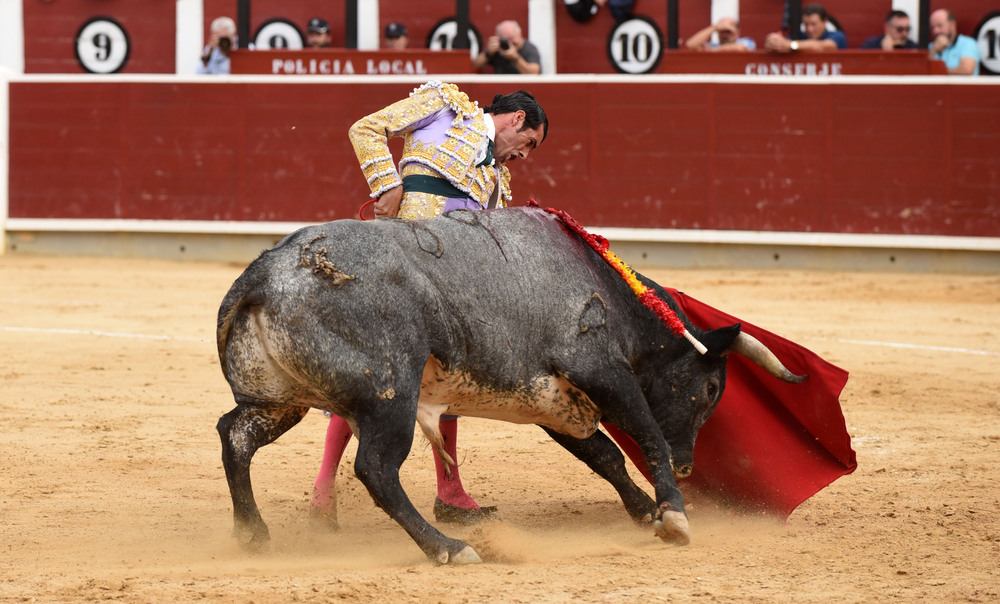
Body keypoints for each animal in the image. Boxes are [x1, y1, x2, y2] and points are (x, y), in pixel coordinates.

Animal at [213, 205, 804, 564]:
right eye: (711, 390)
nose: (687, 468)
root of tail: (264, 274)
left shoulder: (555, 404)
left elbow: (606, 456)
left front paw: (647, 513)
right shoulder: (600, 369)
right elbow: (646, 434)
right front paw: (675, 515)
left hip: (280, 399)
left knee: (234, 435)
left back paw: (252, 534)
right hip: (389, 396)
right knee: (376, 470)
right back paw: (449, 548)